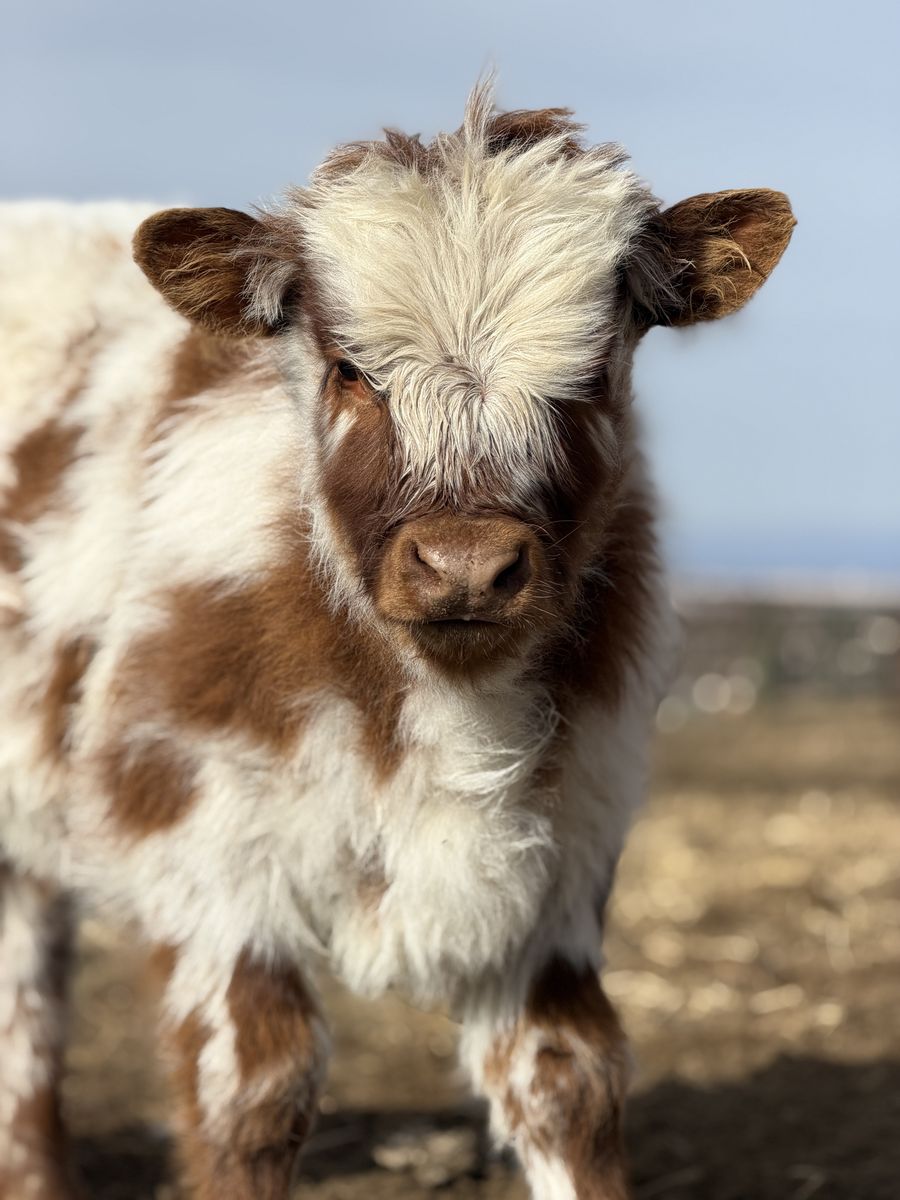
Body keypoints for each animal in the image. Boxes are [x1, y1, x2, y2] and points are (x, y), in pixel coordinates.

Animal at [0, 83, 794, 1200]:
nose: (464, 565)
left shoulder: (568, 848)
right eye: (348, 369)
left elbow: (568, 1080)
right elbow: (252, 1092)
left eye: (596, 372)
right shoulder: (206, 850)